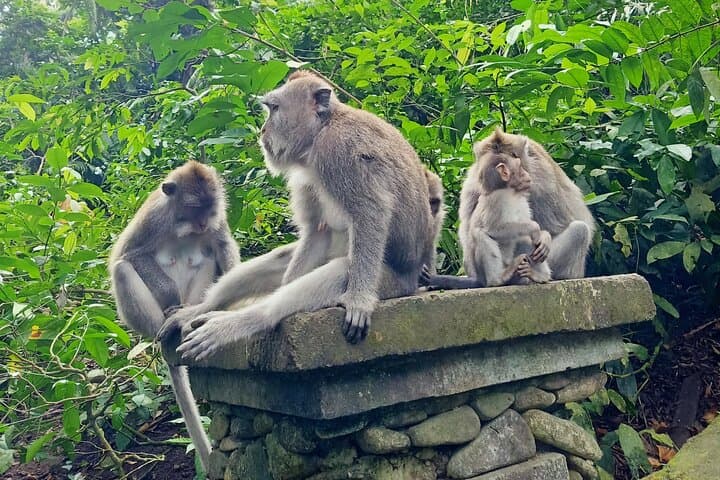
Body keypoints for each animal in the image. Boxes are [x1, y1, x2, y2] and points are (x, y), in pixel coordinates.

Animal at [108, 161, 239, 472]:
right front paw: (170, 301)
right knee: (122, 269)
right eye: (193, 208)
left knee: (209, 258)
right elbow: (130, 254)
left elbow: (222, 248)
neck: (182, 227)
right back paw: (166, 325)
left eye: (210, 208)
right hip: (142, 321)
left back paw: (189, 316)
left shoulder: (219, 221)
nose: (202, 224)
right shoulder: (153, 219)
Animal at [158, 70, 436, 360]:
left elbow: (371, 213)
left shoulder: (339, 152)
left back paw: (245, 321)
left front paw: (358, 301)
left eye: (275, 109)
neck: (324, 128)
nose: (263, 130)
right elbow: (317, 230)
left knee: (341, 269)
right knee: (280, 259)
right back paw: (202, 310)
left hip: (392, 283)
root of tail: (414, 277)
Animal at [421, 149, 552, 289]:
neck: (511, 192)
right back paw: (498, 279)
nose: (527, 174)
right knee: (480, 233)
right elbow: (493, 228)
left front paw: (544, 237)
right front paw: (535, 228)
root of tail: (479, 279)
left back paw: (538, 275)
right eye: (520, 167)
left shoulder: (522, 201)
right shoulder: (496, 199)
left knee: (525, 238)